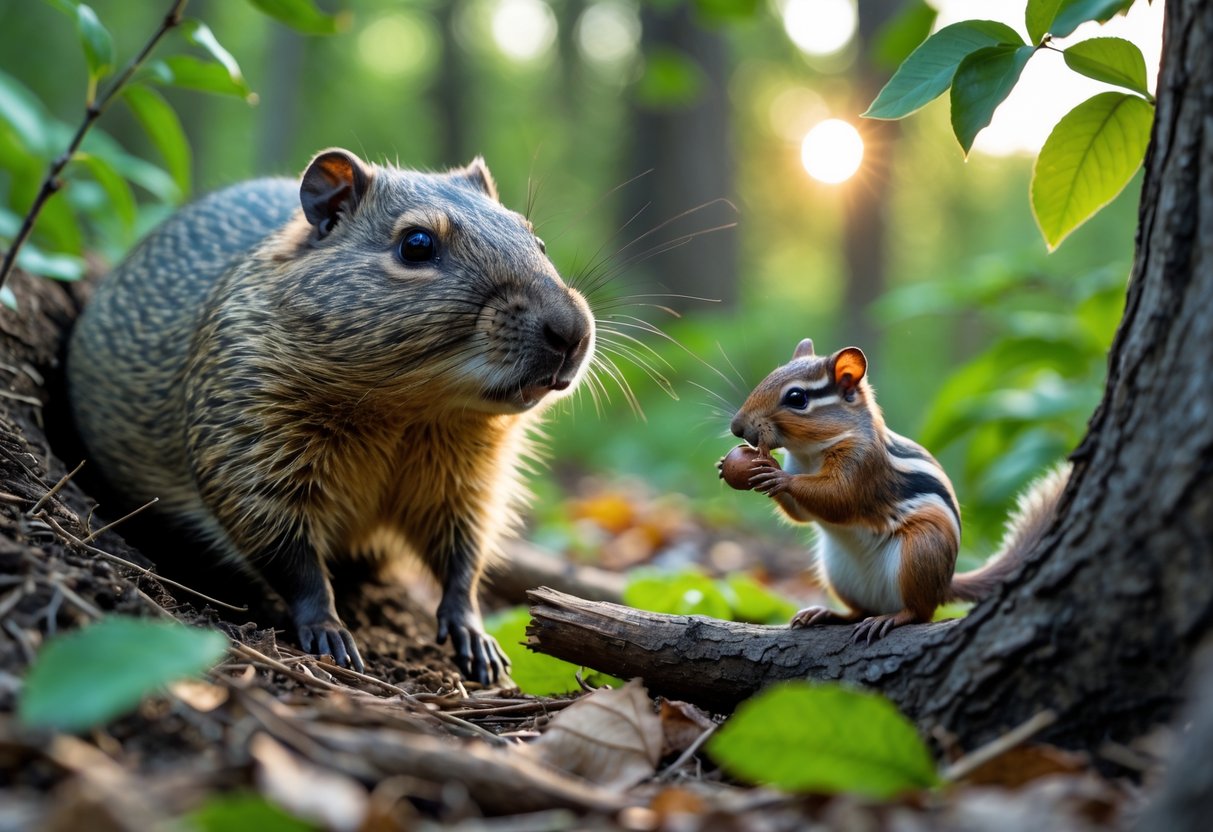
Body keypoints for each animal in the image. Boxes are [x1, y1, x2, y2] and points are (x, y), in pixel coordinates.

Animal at [67, 148, 594, 684]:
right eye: (416, 245)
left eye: (536, 239)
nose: (572, 330)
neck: (411, 412)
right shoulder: (249, 451)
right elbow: (292, 560)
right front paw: (327, 630)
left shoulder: (466, 484)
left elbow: (463, 558)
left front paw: (472, 631)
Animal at [721, 338, 1067, 643]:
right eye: (770, 375)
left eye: (796, 398)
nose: (737, 427)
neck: (809, 454)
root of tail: (944, 584)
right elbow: (802, 515)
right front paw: (736, 467)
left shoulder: (863, 466)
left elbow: (838, 498)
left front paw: (778, 476)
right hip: (838, 571)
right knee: (860, 611)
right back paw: (826, 614)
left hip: (920, 552)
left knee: (920, 612)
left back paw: (892, 617)